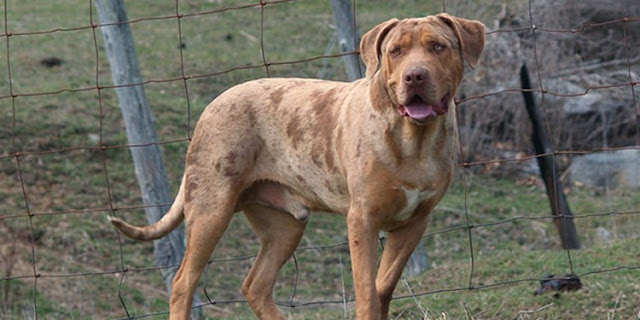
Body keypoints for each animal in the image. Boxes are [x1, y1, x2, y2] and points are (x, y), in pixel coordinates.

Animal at [109, 13, 484, 320]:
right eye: (396, 51)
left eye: (438, 47)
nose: (415, 76)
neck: (414, 141)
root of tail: (213, 104)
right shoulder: (362, 219)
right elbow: (367, 292)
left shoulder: (414, 223)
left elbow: (382, 287)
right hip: (210, 210)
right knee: (184, 281)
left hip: (283, 225)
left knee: (256, 285)